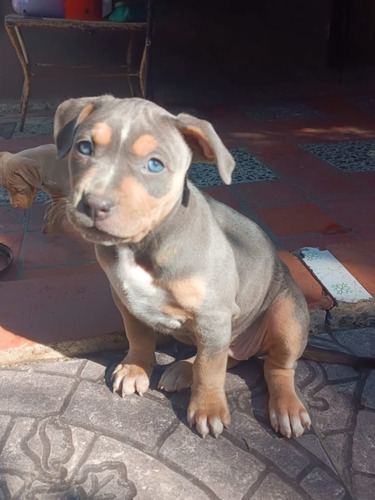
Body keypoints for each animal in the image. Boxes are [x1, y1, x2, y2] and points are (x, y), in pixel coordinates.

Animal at [53, 95, 312, 440]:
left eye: (155, 165)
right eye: (84, 148)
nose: (95, 204)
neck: (144, 243)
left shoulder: (213, 315)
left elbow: (210, 369)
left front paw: (208, 408)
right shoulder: (125, 298)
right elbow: (138, 335)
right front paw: (136, 367)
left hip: (287, 314)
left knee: (275, 366)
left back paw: (287, 408)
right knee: (226, 356)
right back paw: (182, 369)